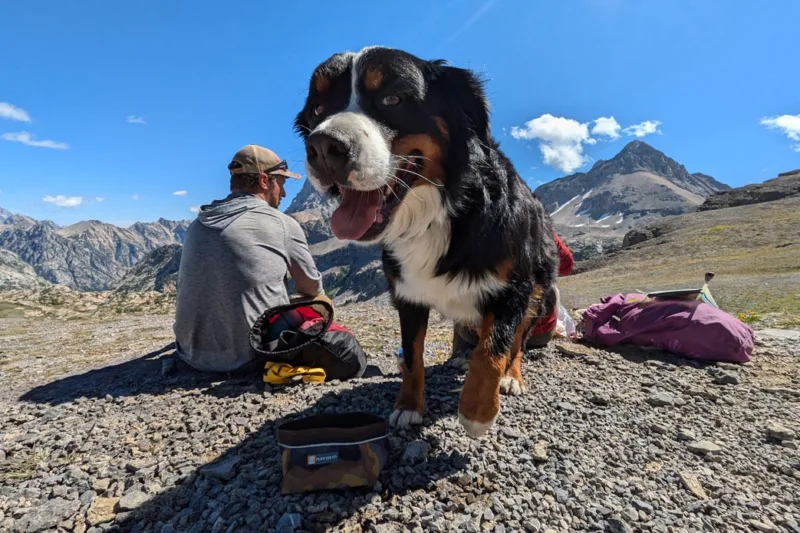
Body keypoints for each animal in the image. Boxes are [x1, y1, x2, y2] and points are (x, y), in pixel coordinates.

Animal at [292, 46, 556, 436]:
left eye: (392, 98)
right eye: (317, 109)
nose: (323, 147)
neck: (437, 213)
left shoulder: (513, 287)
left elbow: (493, 350)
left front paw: (477, 411)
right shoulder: (408, 294)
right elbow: (412, 356)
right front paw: (408, 407)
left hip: (540, 291)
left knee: (517, 339)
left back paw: (511, 377)